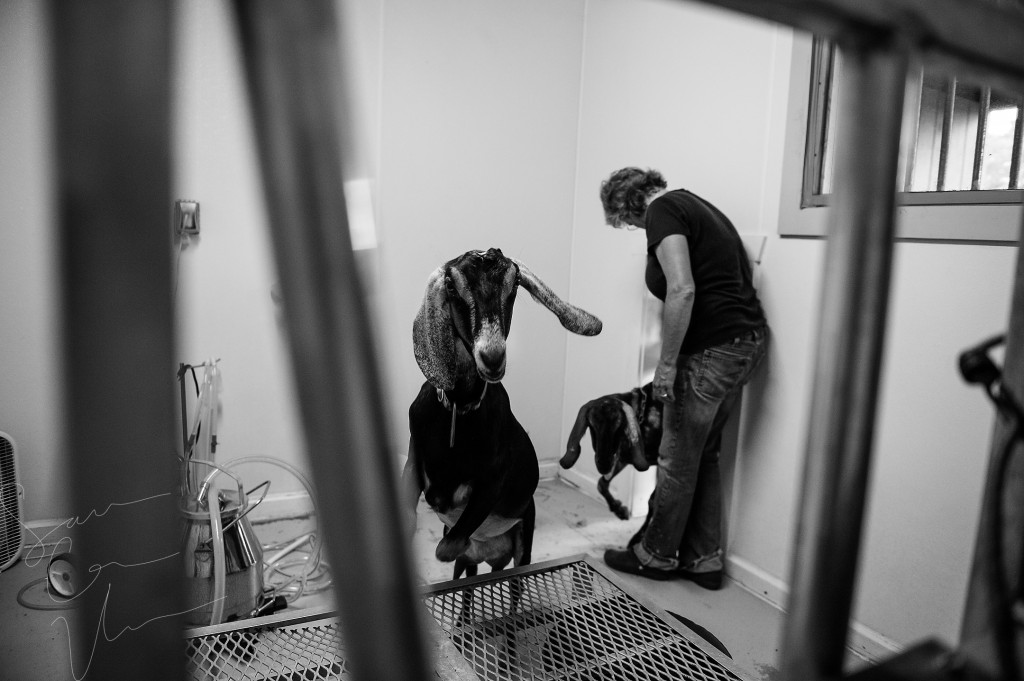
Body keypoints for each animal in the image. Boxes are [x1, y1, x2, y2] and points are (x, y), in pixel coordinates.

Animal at [403, 245, 602, 577]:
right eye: (452, 287)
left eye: (514, 284)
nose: (493, 357)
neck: (459, 408)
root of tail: (492, 558)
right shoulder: (413, 455)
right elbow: (413, 509)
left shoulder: (493, 481)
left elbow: (447, 544)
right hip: (469, 562)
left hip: (523, 545)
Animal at [557, 378, 659, 518]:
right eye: (591, 425)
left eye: (619, 425)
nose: (603, 466)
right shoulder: (621, 460)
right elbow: (602, 484)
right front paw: (618, 509)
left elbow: (654, 502)